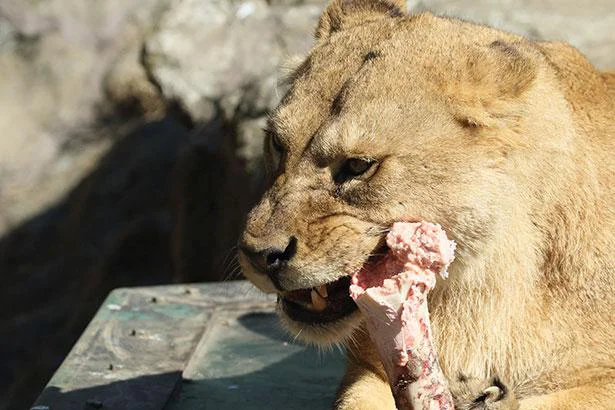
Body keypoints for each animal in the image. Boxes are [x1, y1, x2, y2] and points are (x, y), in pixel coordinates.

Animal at [237, 1, 615, 408]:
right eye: (276, 143)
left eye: (357, 165)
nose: (259, 255)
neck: (476, 284)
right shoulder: (370, 367)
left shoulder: (601, 378)